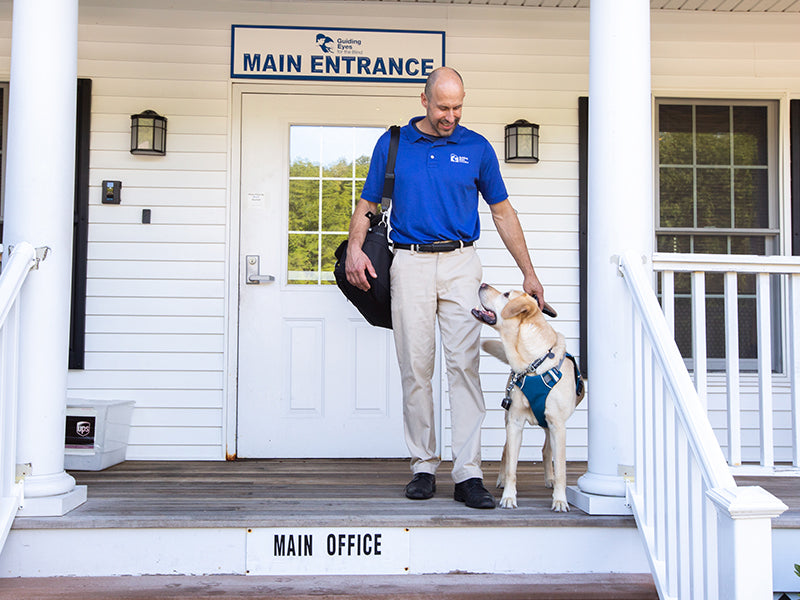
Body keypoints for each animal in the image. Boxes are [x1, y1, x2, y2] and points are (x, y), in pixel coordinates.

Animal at [472, 284, 584, 508]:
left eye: (506, 294)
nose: (482, 284)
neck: (532, 364)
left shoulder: (558, 425)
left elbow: (561, 468)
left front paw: (560, 500)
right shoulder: (514, 422)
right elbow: (512, 468)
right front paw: (508, 496)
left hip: (550, 427)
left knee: (547, 451)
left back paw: (550, 479)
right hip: (508, 419)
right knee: (506, 451)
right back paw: (501, 479)